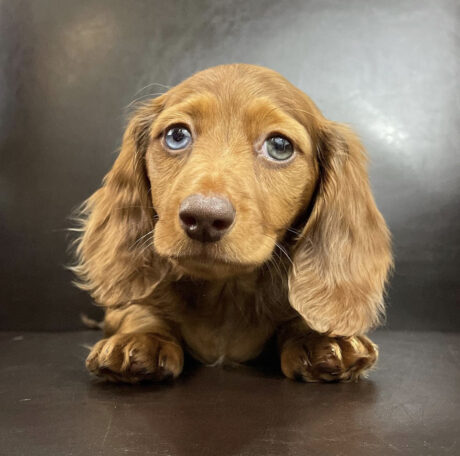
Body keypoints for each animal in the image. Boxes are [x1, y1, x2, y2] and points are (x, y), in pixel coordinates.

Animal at [73, 64, 392, 382]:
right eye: (177, 135)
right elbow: (137, 310)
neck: (225, 294)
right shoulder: (129, 305)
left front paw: (321, 339)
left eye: (280, 146)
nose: (203, 218)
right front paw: (140, 339)